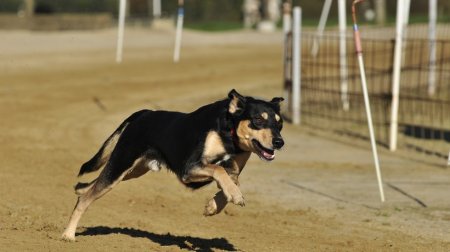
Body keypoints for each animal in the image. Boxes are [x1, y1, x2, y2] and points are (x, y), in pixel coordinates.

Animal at [61, 89, 284, 241]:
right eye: (258, 120)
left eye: (280, 123)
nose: (279, 142)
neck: (229, 135)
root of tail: (144, 113)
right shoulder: (189, 168)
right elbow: (219, 170)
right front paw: (235, 196)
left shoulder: (233, 170)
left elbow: (230, 181)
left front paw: (214, 206)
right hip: (121, 165)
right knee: (86, 199)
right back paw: (68, 235)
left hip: (132, 170)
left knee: (88, 188)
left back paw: (79, 190)